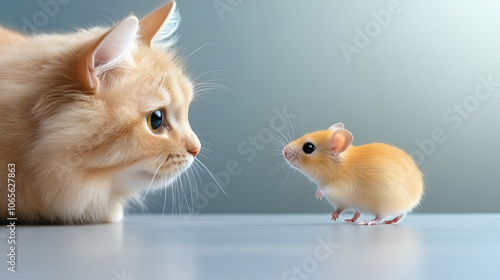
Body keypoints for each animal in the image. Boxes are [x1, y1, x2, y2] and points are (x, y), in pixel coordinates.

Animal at [284, 122, 424, 225]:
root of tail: (415, 197)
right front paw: (334, 217)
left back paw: (370, 222)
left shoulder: (340, 186)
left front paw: (318, 194)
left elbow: (326, 188)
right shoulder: (342, 202)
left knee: (382, 217)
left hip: (385, 204)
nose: (283, 152)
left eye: (308, 147)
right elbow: (339, 209)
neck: (337, 168)